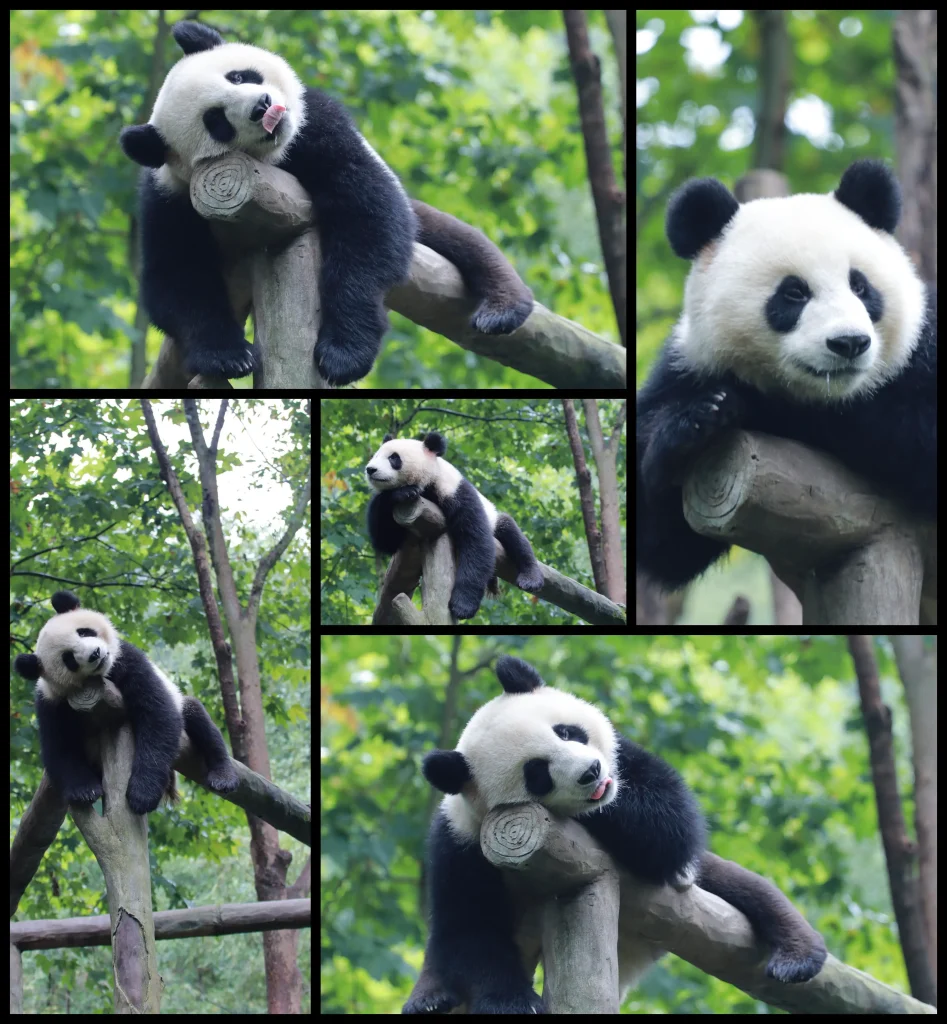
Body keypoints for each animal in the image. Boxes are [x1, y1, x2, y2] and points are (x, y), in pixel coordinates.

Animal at [13, 591, 239, 814]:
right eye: (69, 659)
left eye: (84, 632)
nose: (95, 654)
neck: (105, 674)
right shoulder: (52, 701)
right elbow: (60, 746)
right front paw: (84, 791)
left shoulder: (128, 660)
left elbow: (157, 714)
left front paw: (142, 795)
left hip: (181, 702)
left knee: (198, 719)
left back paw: (223, 776)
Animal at [119, 20, 533, 386]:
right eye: (216, 121)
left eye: (238, 77)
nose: (263, 106)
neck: (279, 158)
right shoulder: (169, 198)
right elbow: (176, 276)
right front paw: (228, 356)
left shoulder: (317, 125)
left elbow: (368, 215)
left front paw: (344, 354)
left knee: (450, 235)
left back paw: (503, 307)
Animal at [365, 431, 544, 620]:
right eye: (376, 455)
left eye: (394, 458)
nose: (370, 469)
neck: (427, 483)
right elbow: (387, 541)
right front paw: (402, 493)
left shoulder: (455, 491)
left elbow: (476, 541)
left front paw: (462, 606)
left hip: (494, 518)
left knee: (513, 535)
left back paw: (530, 578)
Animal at [403, 655, 826, 1014]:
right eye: (537, 772)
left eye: (567, 732)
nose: (591, 773)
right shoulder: (462, 847)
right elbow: (471, 928)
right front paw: (515, 1003)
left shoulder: (627, 762)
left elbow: (671, 825)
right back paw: (429, 998)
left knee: (742, 889)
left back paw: (798, 955)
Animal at [637, 159, 937, 590]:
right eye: (794, 292)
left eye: (861, 286)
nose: (849, 343)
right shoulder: (687, 369)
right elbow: (664, 542)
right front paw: (700, 419)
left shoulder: (921, 353)